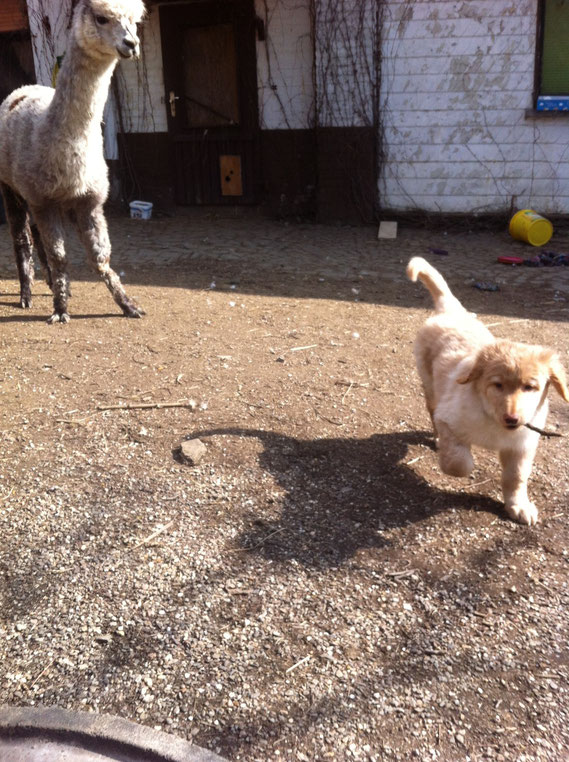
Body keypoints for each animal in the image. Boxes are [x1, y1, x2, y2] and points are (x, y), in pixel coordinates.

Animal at [406, 255, 564, 524]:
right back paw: (437, 438)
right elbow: (459, 463)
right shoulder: (450, 418)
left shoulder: (522, 445)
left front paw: (519, 506)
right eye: (497, 385)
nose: (512, 418)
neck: (491, 416)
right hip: (430, 384)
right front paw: (457, 461)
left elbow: (516, 477)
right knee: (432, 411)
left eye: (530, 387)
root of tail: (451, 310)